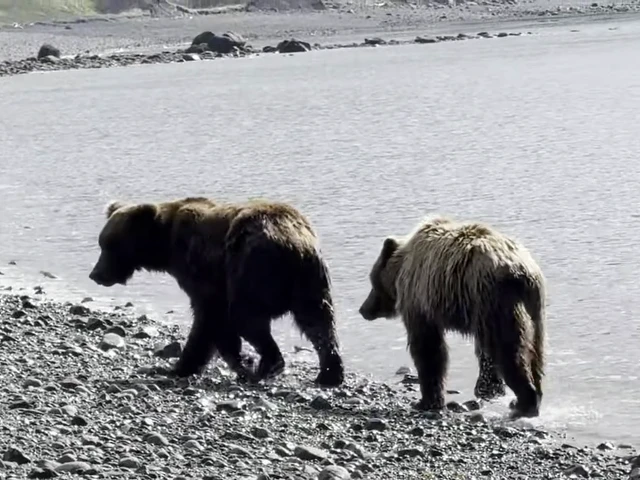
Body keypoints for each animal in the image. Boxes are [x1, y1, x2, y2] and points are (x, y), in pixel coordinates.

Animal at [88, 196, 345, 387]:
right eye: (102, 243)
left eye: (110, 245)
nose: (95, 274)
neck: (166, 246)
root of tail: (293, 243)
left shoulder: (203, 270)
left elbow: (209, 319)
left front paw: (181, 366)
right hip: (309, 281)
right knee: (319, 323)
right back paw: (329, 374)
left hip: (252, 268)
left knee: (246, 316)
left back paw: (267, 367)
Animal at [358, 215, 546, 419]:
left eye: (372, 281)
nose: (363, 309)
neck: (402, 268)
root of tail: (521, 272)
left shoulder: (420, 298)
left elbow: (428, 348)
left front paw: (426, 401)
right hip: (533, 308)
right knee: (535, 353)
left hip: (495, 299)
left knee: (507, 349)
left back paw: (523, 402)